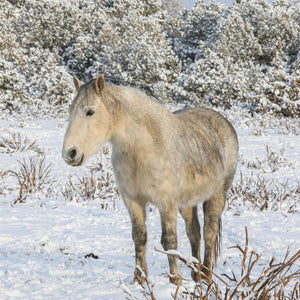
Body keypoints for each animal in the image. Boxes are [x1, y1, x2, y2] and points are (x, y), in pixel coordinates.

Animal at [62, 73, 238, 284]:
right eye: (70, 110)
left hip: (217, 195)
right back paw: (196, 275)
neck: (144, 147)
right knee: (194, 232)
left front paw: (175, 279)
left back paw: (205, 275)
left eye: (90, 112)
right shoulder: (133, 200)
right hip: (187, 202)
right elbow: (139, 236)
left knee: (209, 232)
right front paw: (140, 279)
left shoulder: (166, 202)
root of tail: (223, 122)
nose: (70, 153)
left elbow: (169, 240)